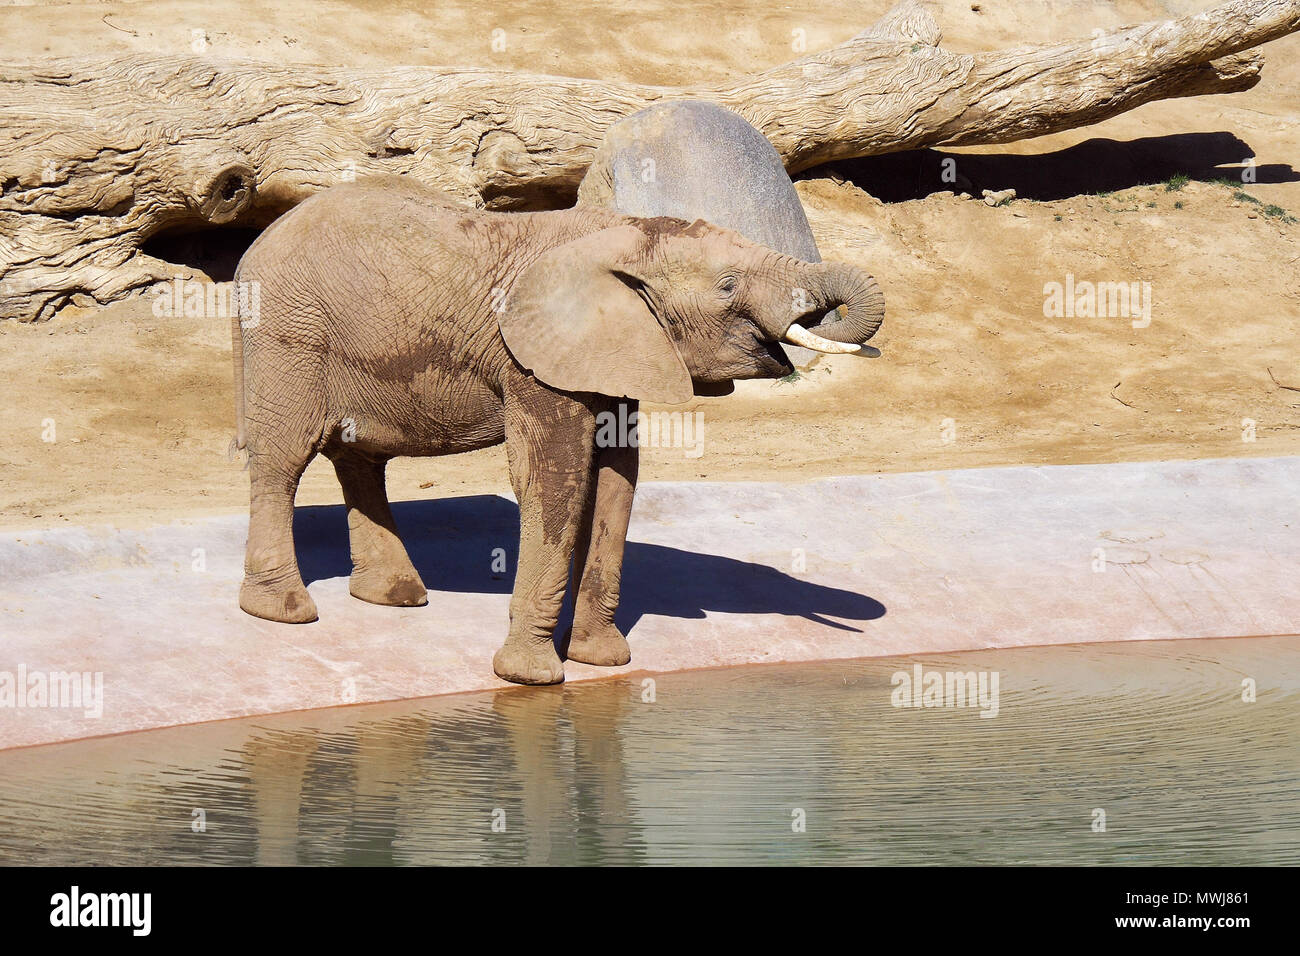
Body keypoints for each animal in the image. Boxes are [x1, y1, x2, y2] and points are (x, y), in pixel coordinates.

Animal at [233, 174, 883, 686]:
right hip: (288, 333)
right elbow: (554, 476)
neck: (620, 232)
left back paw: (394, 596)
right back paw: (283, 611)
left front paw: (602, 661)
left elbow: (617, 481)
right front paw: (531, 677)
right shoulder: (531, 360)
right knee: (283, 460)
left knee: (360, 457)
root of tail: (254, 246)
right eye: (728, 286)